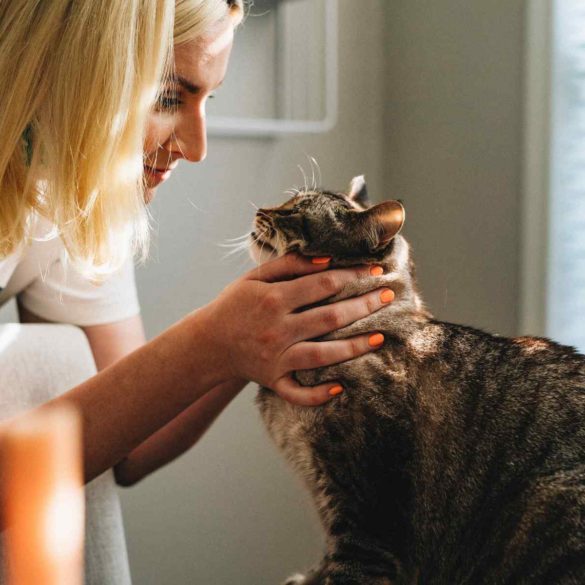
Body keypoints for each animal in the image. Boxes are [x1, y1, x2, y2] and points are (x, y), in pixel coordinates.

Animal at [250, 177, 584, 584]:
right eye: (288, 202)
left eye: (295, 212)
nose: (260, 210)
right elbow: (326, 562)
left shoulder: (367, 519)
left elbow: (346, 568)